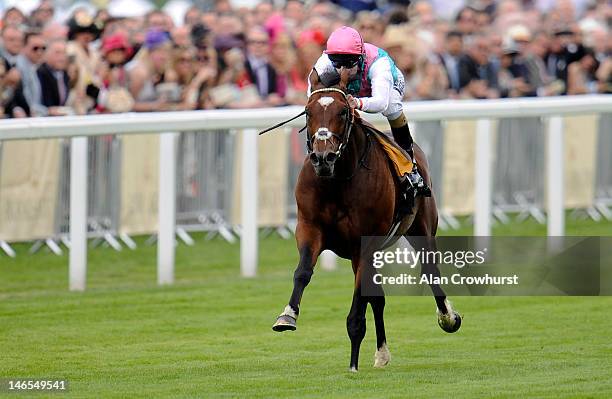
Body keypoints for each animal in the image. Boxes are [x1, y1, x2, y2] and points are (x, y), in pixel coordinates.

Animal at [270, 68, 462, 372]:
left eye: (343, 112)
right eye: (308, 111)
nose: (323, 157)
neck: (336, 181)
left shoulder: (365, 245)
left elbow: (359, 305)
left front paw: (352, 363)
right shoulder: (310, 229)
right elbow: (302, 272)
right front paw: (287, 316)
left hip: (421, 228)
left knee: (430, 272)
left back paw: (447, 318)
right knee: (378, 297)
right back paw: (382, 353)